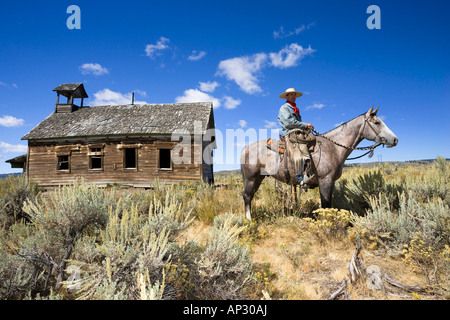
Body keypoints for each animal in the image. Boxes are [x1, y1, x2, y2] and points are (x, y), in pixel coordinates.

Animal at [241, 107, 400, 220]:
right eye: (377, 122)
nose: (395, 139)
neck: (333, 147)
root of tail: (245, 149)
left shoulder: (331, 182)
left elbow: (328, 205)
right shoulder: (325, 181)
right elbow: (325, 205)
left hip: (258, 178)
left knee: (250, 195)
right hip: (251, 178)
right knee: (247, 196)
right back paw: (249, 220)